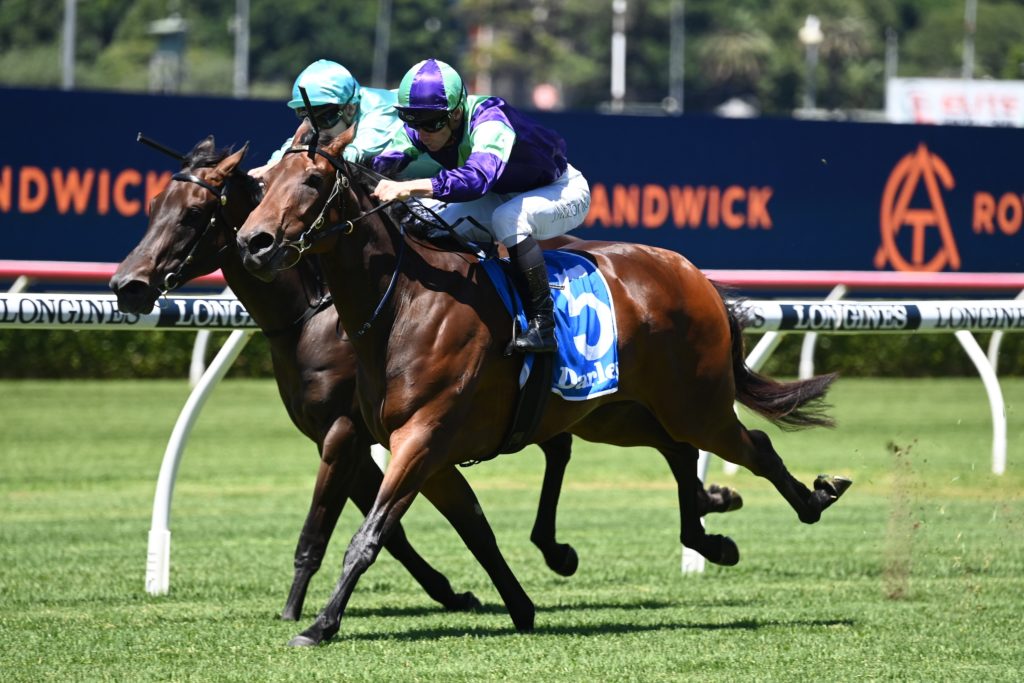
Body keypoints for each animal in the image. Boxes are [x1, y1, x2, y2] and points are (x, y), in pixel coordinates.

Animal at [110, 135, 743, 623]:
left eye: (194, 213)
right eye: (153, 205)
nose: (127, 285)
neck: (322, 310)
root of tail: (685, 270)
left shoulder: (346, 433)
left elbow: (326, 527)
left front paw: (296, 611)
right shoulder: (359, 436)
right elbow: (404, 527)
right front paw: (455, 592)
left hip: (630, 399)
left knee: (664, 442)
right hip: (606, 407)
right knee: (653, 445)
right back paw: (693, 516)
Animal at [234, 126, 850, 646]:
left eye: (313, 181)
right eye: (263, 182)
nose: (253, 242)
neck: (402, 305)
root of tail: (690, 272)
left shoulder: (423, 438)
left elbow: (369, 537)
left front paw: (319, 625)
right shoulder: (426, 451)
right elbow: (476, 530)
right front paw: (521, 606)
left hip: (693, 402)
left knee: (752, 445)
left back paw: (815, 497)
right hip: (613, 412)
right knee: (677, 449)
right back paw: (710, 533)